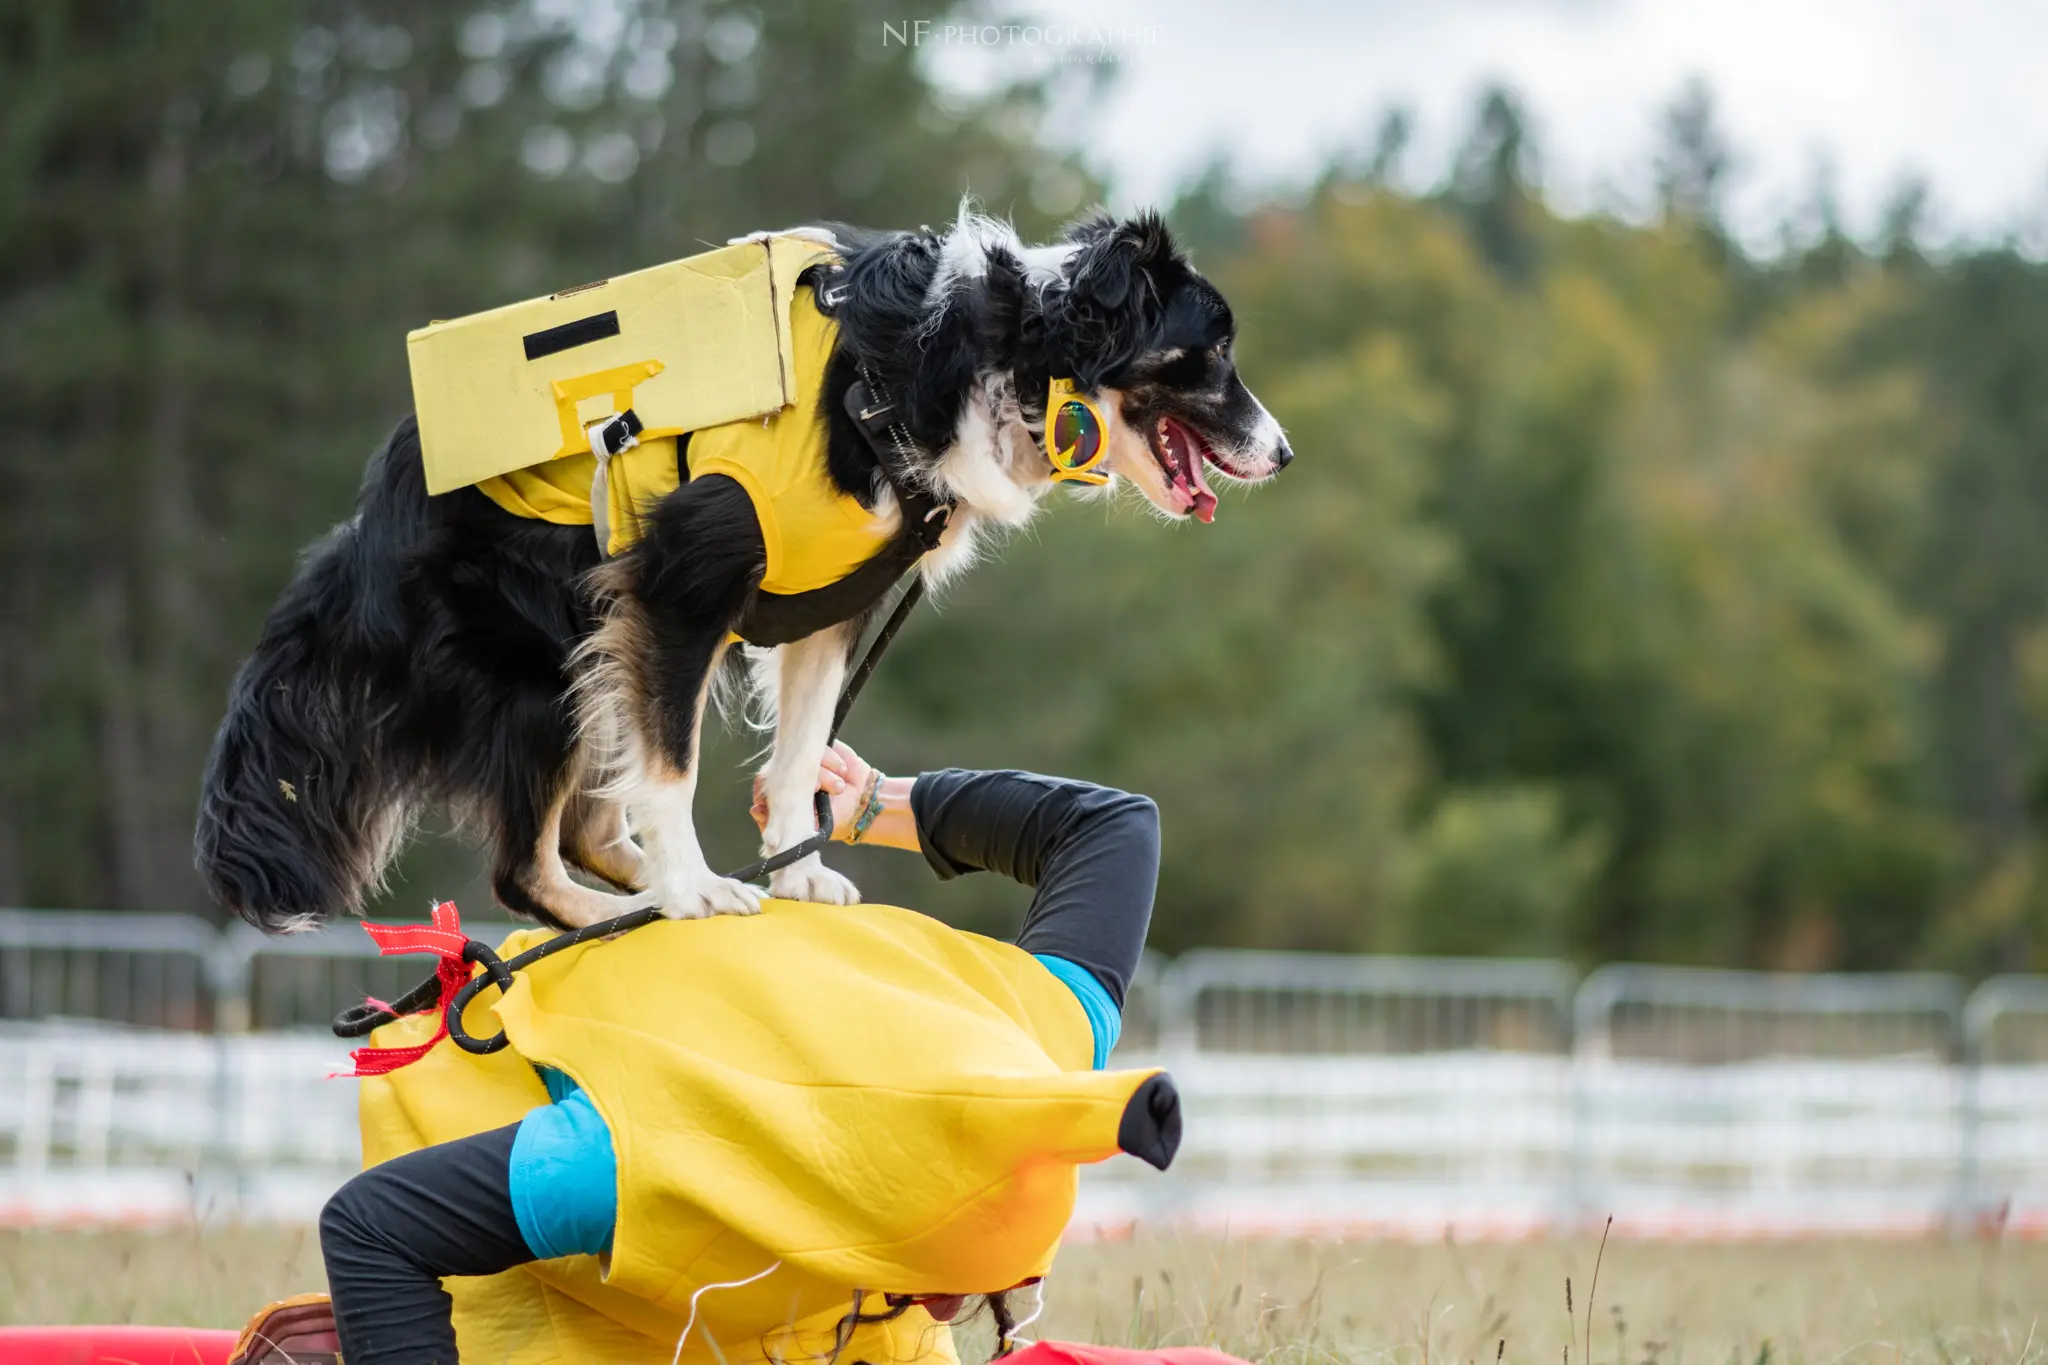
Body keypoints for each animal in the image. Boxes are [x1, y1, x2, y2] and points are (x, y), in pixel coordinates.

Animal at [203, 210, 1294, 941]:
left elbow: (800, 747)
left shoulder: (833, 605)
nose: (1284, 455)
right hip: (547, 663)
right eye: (1213, 352)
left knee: (583, 830)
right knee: (528, 865)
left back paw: (635, 895)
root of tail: (371, 520)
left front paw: (796, 877)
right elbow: (674, 767)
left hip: (583, 663)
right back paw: (637, 904)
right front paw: (697, 889)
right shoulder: (681, 580)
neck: (980, 353)